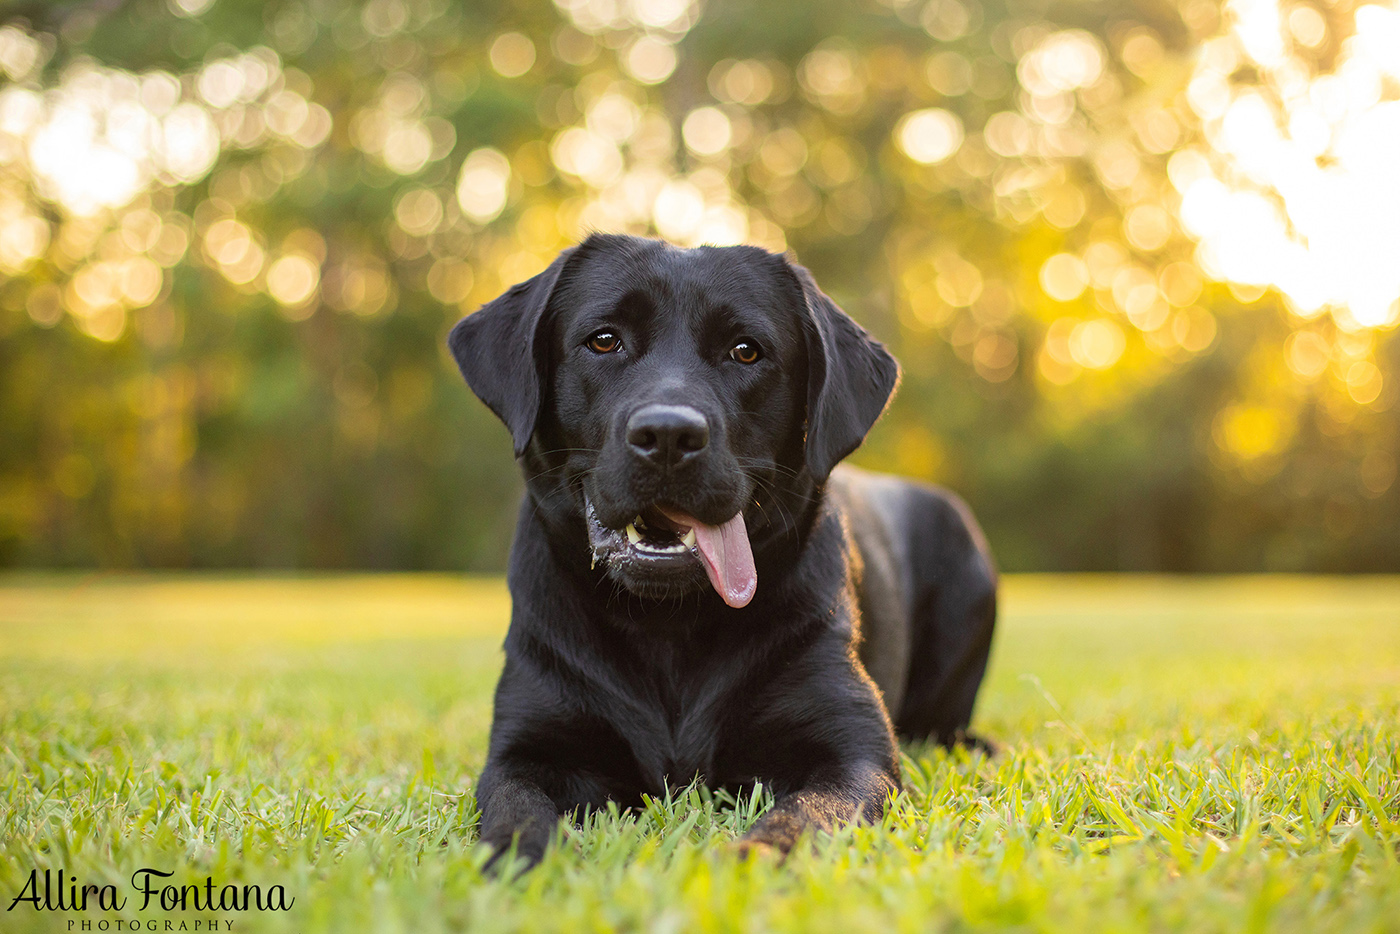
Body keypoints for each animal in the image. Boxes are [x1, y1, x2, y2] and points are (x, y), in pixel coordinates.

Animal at [448, 235, 996, 868]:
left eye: (745, 351)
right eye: (604, 340)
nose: (667, 435)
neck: (669, 625)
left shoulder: (854, 751)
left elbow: (804, 817)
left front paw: (750, 862)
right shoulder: (525, 748)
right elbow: (516, 813)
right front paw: (518, 864)